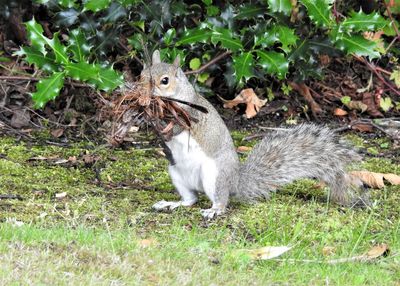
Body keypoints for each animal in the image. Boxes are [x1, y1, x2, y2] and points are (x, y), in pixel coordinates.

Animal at [140, 50, 366, 219]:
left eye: (165, 80)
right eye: (143, 75)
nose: (144, 94)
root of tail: (235, 183)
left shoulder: (191, 114)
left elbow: (178, 127)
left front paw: (160, 124)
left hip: (214, 177)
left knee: (220, 200)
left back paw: (214, 210)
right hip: (176, 174)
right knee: (191, 200)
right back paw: (171, 204)